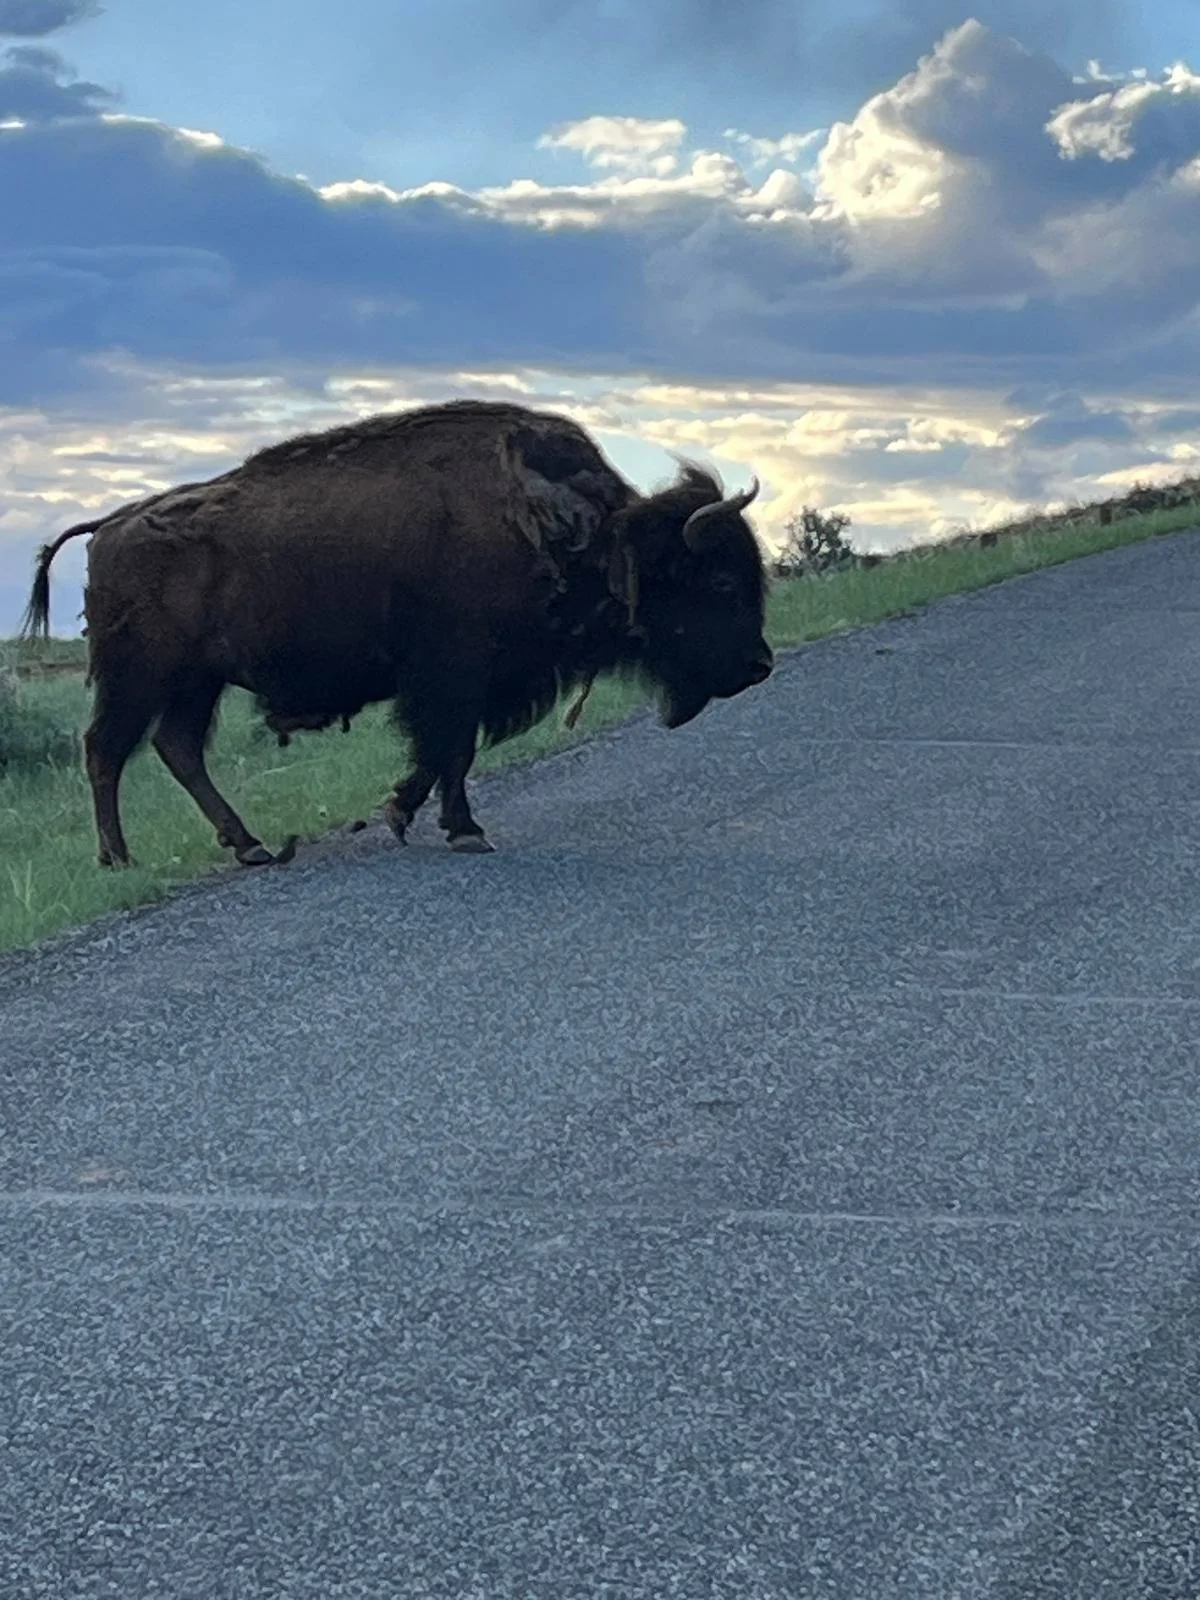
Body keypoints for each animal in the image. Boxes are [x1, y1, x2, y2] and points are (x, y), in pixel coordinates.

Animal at [21, 400, 773, 865]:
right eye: (721, 583)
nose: (761, 665)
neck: (590, 536)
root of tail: (110, 527)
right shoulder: (456, 673)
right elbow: (452, 750)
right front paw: (463, 830)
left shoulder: (460, 683)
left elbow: (439, 754)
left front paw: (403, 811)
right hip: (140, 676)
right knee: (106, 750)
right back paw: (119, 858)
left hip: (195, 683)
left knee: (175, 749)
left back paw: (251, 845)